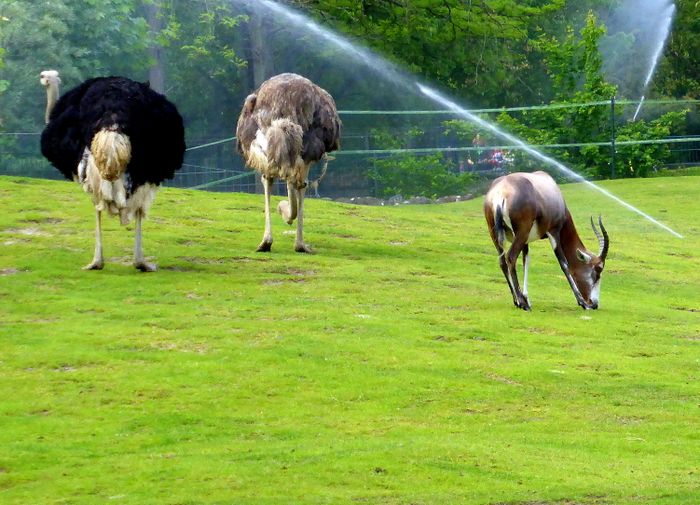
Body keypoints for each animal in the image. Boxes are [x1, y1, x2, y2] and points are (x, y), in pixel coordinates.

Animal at [486, 171, 608, 310]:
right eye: (598, 270)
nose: (594, 304)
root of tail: (501, 194)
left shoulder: (526, 241)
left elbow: (526, 261)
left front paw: (526, 297)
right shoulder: (554, 232)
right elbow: (564, 264)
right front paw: (582, 302)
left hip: (496, 234)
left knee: (502, 261)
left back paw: (517, 300)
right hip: (521, 233)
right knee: (511, 257)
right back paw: (522, 304)